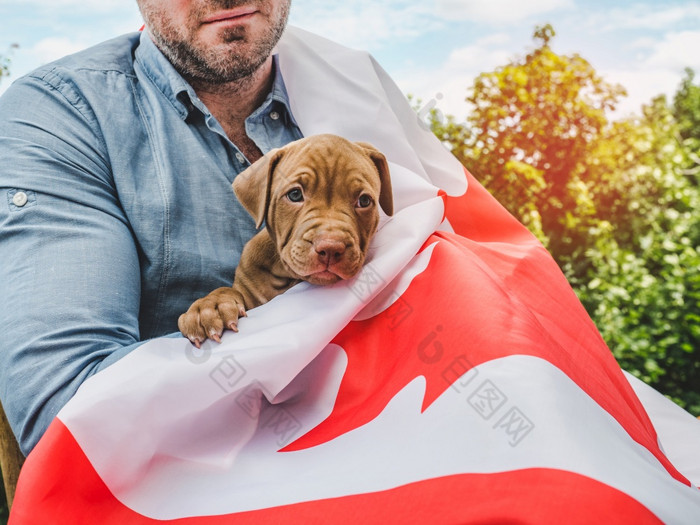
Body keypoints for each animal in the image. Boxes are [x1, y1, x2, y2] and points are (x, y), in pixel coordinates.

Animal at [178, 133, 394, 346]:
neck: (284, 275)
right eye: (295, 194)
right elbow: (228, 290)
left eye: (364, 201)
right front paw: (210, 306)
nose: (331, 248)